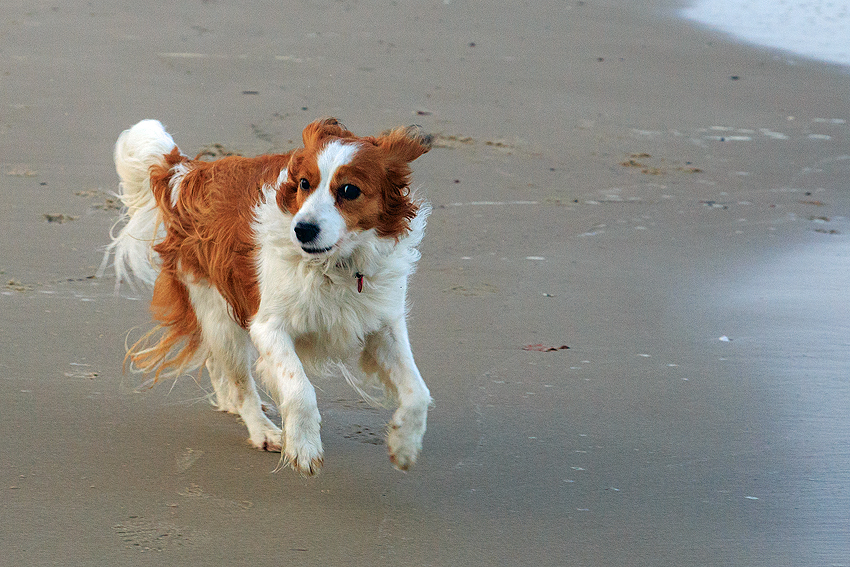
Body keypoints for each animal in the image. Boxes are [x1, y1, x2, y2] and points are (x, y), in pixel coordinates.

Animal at [103, 118, 434, 474]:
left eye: (349, 190)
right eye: (304, 183)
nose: (302, 229)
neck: (336, 267)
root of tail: (189, 171)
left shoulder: (383, 324)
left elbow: (418, 391)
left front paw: (404, 444)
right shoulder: (267, 326)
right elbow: (300, 388)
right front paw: (303, 447)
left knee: (217, 364)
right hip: (218, 313)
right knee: (239, 381)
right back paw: (262, 430)